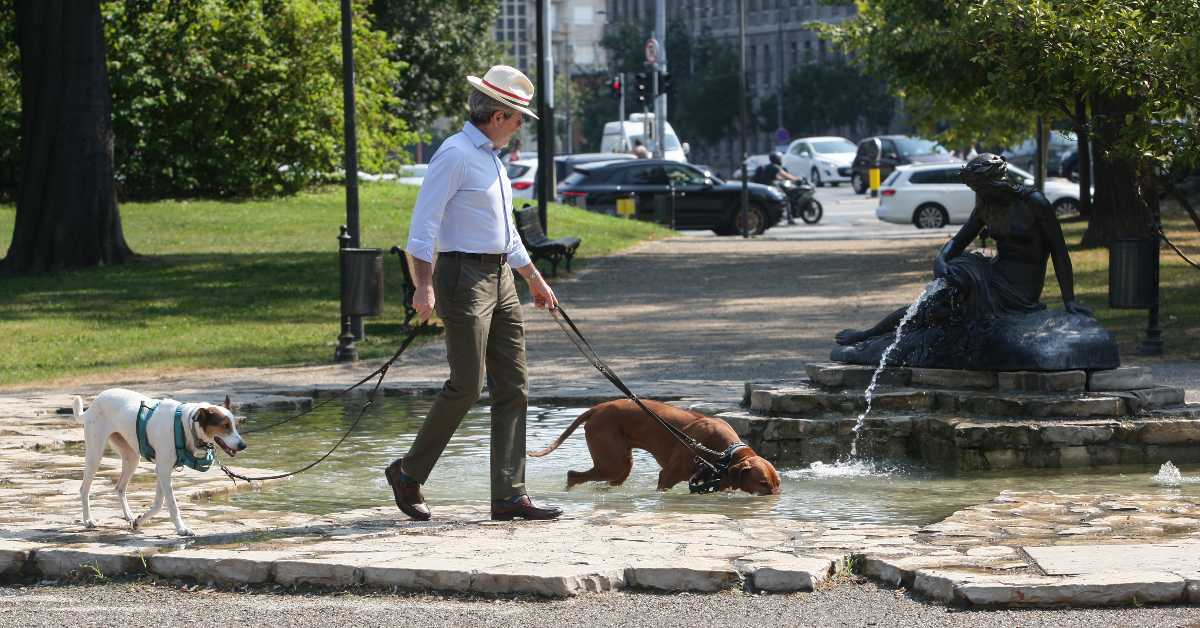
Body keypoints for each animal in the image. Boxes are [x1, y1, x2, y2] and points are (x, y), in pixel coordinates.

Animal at [72, 389, 246, 535]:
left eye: (234, 425)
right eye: (225, 426)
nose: (243, 445)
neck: (186, 425)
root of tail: (94, 402)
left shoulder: (163, 470)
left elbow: (158, 504)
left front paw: (139, 521)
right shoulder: (163, 470)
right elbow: (171, 504)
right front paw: (181, 529)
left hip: (132, 458)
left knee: (120, 488)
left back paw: (129, 516)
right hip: (95, 455)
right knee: (84, 489)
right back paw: (88, 520)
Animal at [530, 398, 782, 497]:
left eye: (778, 483)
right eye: (762, 483)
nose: (776, 498)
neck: (724, 452)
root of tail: (597, 408)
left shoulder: (720, 481)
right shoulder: (667, 476)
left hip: (620, 466)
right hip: (612, 462)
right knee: (573, 475)